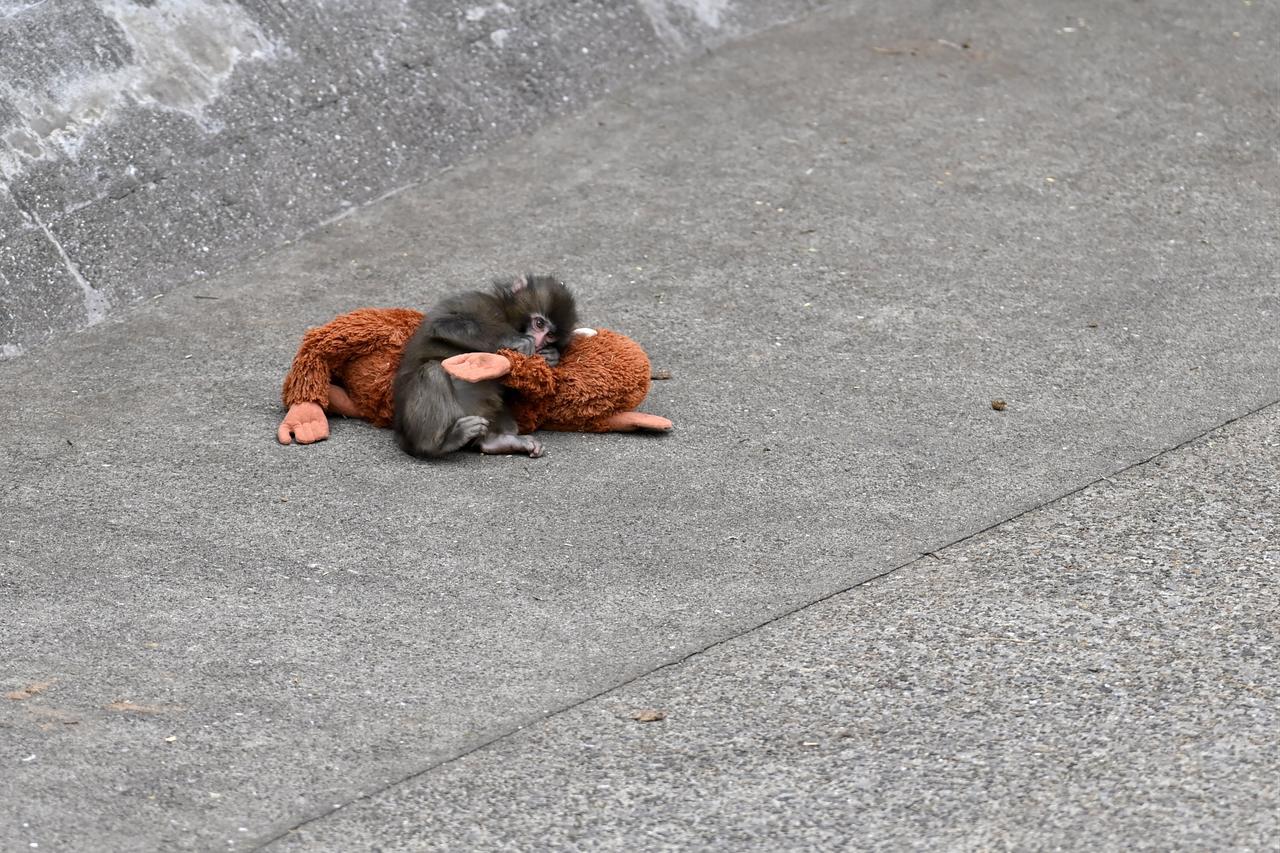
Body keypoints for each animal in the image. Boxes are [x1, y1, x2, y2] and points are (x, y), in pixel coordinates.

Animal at [391, 274, 578, 458]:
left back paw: (495, 442)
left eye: (550, 335)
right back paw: (440, 443)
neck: (504, 314)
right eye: (539, 324)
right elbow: (442, 324)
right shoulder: (476, 301)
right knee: (432, 372)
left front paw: (552, 356)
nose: (539, 343)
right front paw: (515, 340)